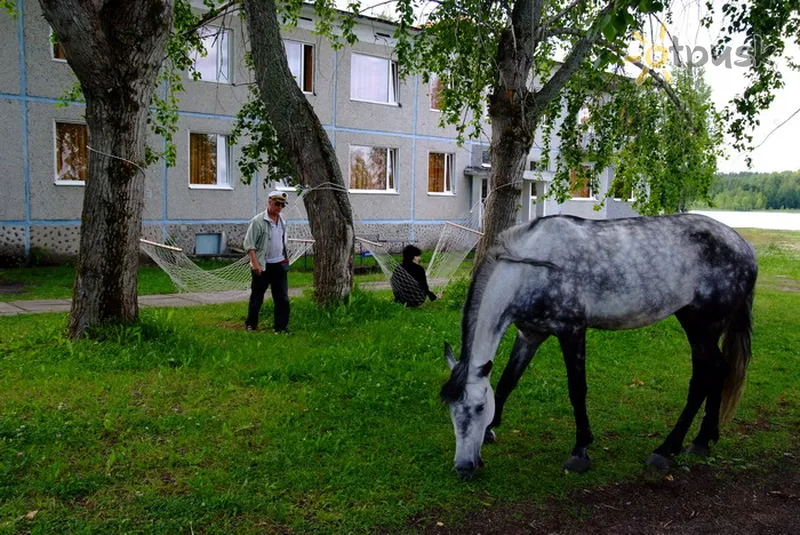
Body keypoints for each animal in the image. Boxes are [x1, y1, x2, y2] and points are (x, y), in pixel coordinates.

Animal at [440, 214, 760, 478]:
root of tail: (745, 249)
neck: (532, 268)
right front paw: (491, 432)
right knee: (719, 370)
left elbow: (577, 390)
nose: (464, 468)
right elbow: (507, 382)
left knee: (703, 378)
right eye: (452, 410)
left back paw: (666, 450)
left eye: (479, 407)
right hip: (699, 326)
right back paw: (702, 441)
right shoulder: (530, 334)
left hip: (702, 328)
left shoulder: (571, 331)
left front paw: (580, 451)